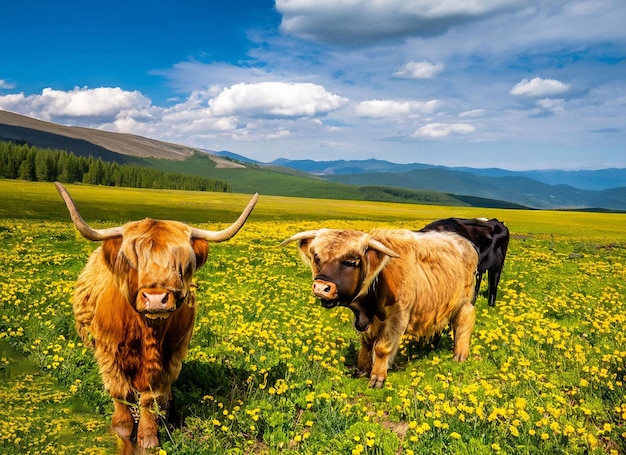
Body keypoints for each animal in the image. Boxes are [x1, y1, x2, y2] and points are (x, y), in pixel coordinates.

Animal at [54, 183, 256, 455]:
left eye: (180, 264)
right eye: (134, 261)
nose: (156, 299)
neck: (146, 331)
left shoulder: (171, 355)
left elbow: (152, 396)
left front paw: (149, 436)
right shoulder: (108, 351)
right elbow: (119, 391)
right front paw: (122, 429)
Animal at [280, 228, 476, 388]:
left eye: (351, 261)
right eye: (317, 257)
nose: (321, 287)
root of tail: (464, 242)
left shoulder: (398, 317)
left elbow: (382, 347)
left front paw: (377, 378)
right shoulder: (363, 321)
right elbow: (366, 344)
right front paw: (362, 369)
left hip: (464, 301)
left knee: (465, 320)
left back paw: (460, 354)